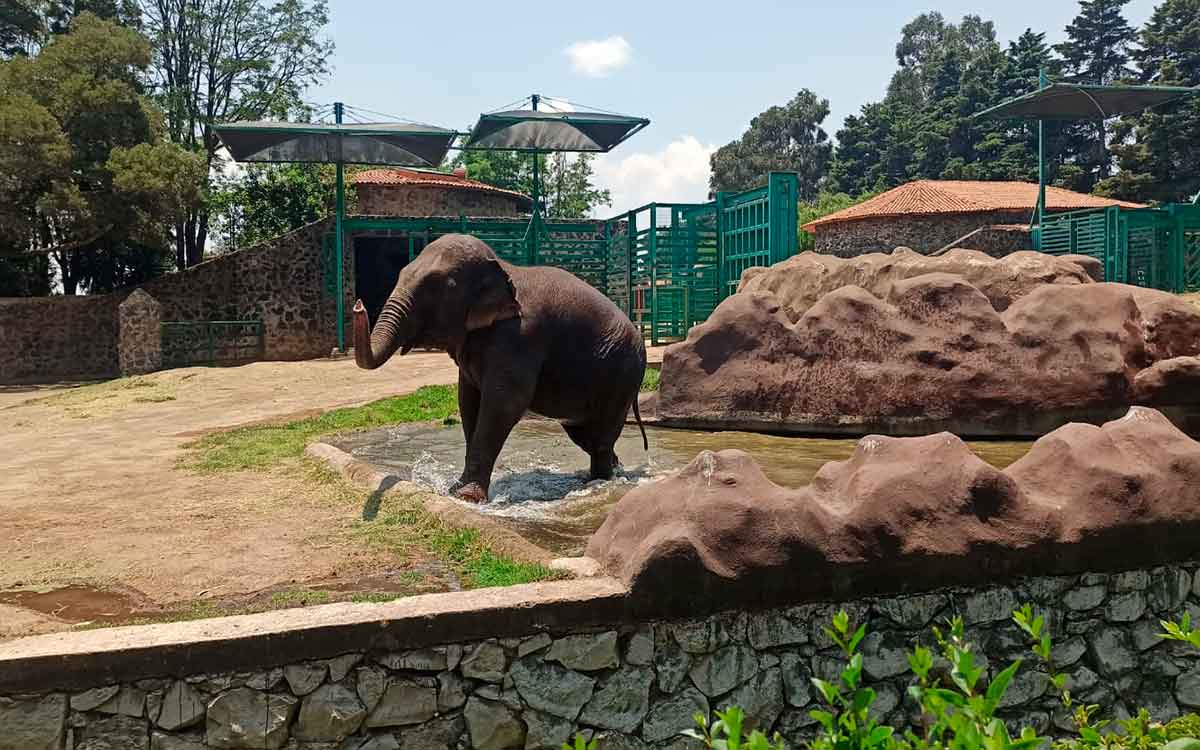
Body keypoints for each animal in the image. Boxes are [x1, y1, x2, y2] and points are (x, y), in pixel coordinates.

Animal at [352, 234, 648, 503]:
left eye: (437, 287)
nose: (358, 305)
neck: (503, 267)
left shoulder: (521, 337)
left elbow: (503, 403)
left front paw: (467, 498)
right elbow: (468, 401)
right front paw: (456, 490)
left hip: (623, 374)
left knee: (600, 437)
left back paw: (600, 483)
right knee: (585, 434)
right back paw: (605, 475)